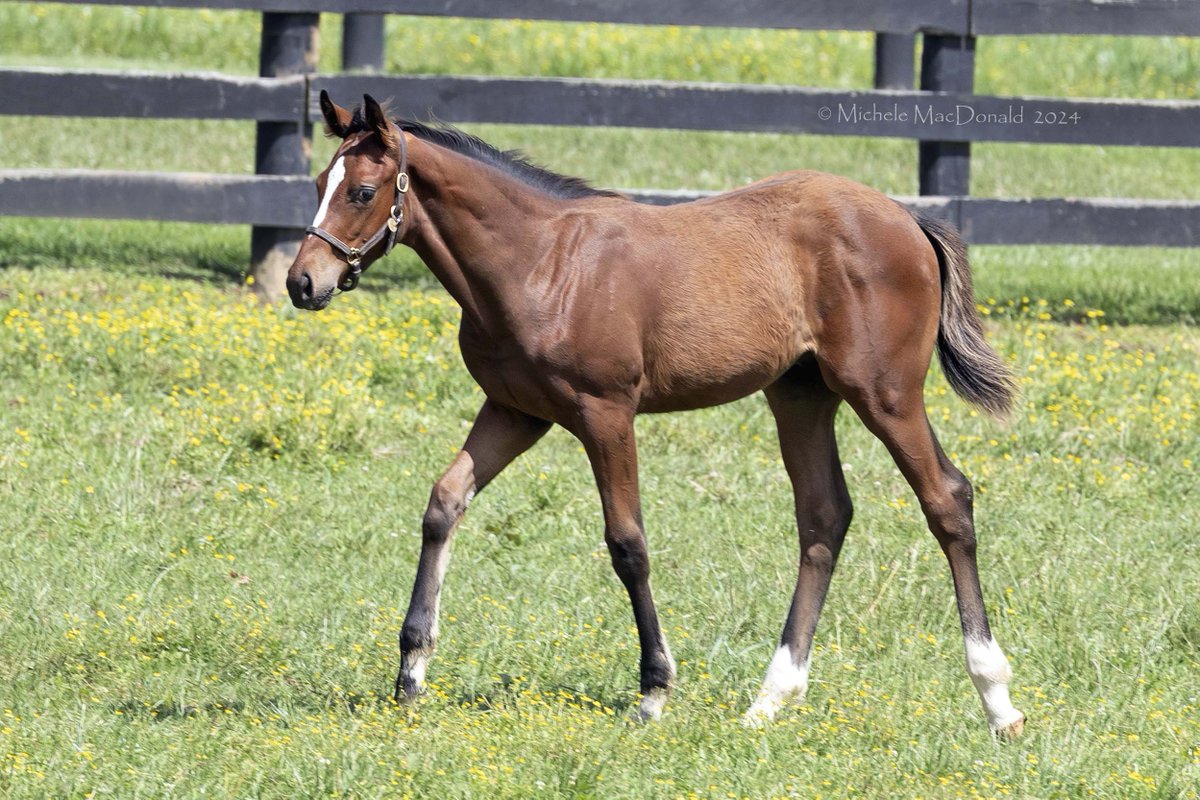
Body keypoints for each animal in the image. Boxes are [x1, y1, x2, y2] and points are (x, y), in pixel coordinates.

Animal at [285, 94, 1027, 738]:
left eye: (361, 191)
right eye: (319, 180)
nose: (302, 282)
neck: (540, 263)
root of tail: (907, 220)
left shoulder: (606, 413)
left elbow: (628, 544)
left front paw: (654, 690)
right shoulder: (516, 410)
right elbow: (443, 503)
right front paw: (411, 670)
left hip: (885, 393)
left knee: (946, 499)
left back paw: (997, 701)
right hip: (800, 394)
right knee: (823, 517)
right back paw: (770, 699)